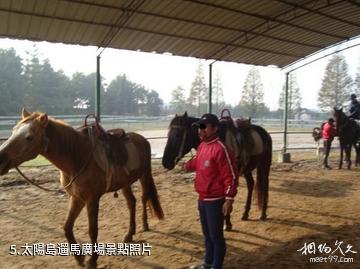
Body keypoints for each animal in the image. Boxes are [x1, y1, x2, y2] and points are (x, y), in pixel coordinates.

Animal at [0, 108, 164, 268]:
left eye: (29, 137)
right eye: (13, 131)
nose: (1, 159)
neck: (78, 158)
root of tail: (142, 139)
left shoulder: (92, 199)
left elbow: (92, 229)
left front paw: (92, 260)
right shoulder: (76, 197)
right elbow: (67, 227)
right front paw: (79, 257)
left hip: (144, 175)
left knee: (144, 197)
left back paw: (145, 225)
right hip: (125, 183)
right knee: (132, 202)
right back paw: (130, 234)